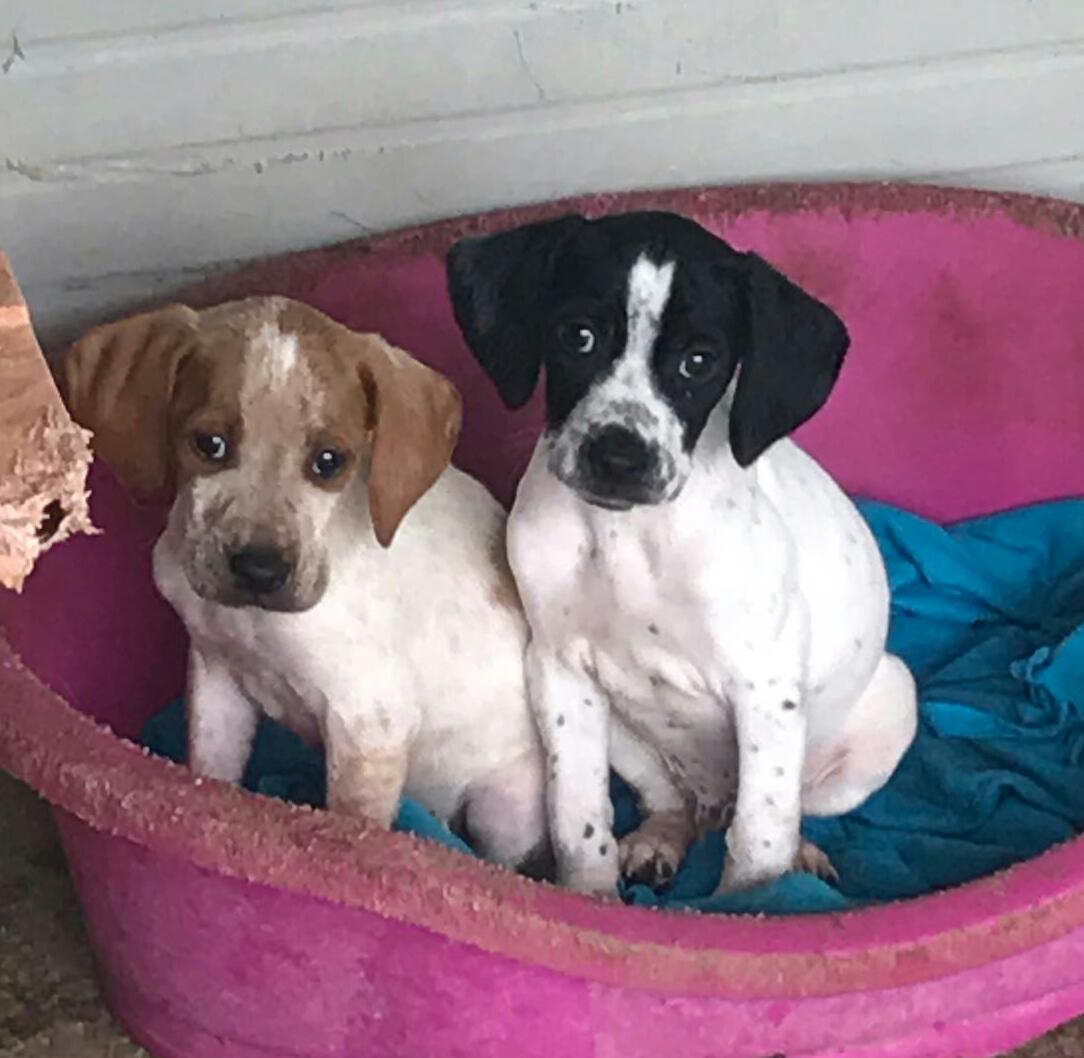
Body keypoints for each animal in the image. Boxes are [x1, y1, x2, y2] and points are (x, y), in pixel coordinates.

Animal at [64, 296, 550, 875]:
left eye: (329, 461)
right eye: (210, 444)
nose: (260, 570)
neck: (255, 621)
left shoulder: (368, 723)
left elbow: (354, 829)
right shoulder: (216, 676)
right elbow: (209, 776)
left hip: (505, 809)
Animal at [446, 211, 917, 896]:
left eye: (699, 362)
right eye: (578, 336)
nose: (619, 455)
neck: (629, 537)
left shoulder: (765, 687)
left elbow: (760, 837)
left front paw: (751, 904)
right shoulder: (558, 671)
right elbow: (578, 817)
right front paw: (590, 897)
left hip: (889, 705)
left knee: (783, 811)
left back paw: (799, 856)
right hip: (626, 737)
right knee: (672, 802)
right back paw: (662, 838)